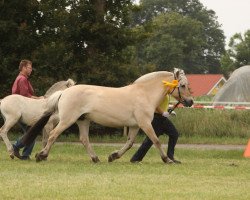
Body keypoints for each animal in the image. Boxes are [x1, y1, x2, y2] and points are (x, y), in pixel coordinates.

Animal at [23, 68, 193, 162]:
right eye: (183, 85)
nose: (190, 101)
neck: (144, 93)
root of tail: (64, 92)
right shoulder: (144, 123)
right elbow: (156, 140)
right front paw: (167, 160)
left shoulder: (134, 125)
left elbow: (130, 143)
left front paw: (113, 156)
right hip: (67, 120)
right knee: (53, 134)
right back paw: (41, 155)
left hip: (83, 121)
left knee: (84, 139)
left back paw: (95, 159)